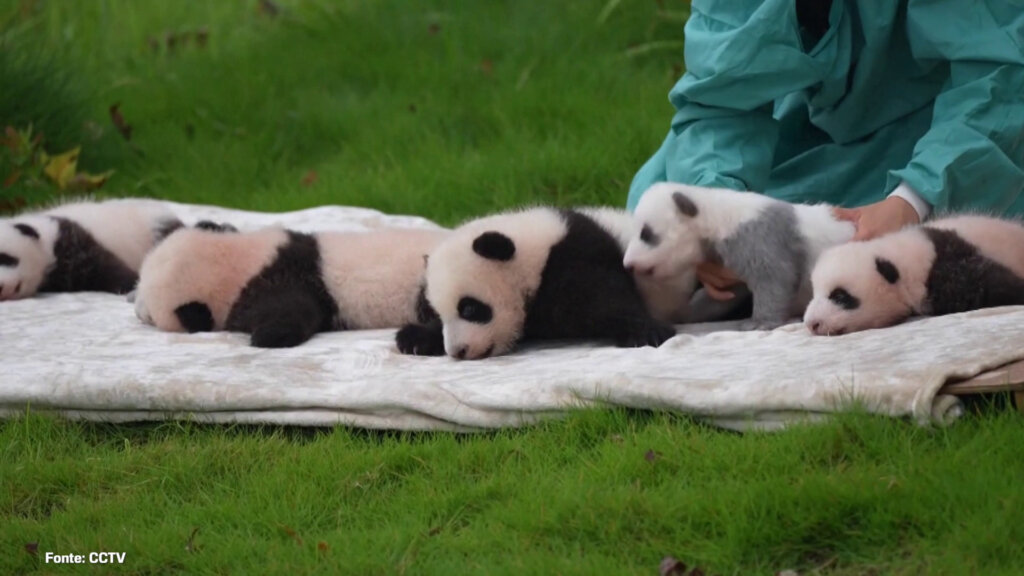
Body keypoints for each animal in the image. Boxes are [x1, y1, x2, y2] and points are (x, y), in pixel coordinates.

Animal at [0, 198, 181, 300]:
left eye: (6, 258)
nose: (1, 287)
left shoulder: (71, 239)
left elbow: (106, 268)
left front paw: (134, 285)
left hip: (154, 227)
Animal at [134, 223, 449, 348]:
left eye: (147, 309)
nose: (136, 311)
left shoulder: (281, 282)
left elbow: (294, 310)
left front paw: (269, 336)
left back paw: (414, 339)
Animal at [395, 207, 678, 360]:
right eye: (438, 314)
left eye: (470, 309)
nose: (458, 351)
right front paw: (415, 338)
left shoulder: (575, 257)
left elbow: (608, 297)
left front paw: (645, 333)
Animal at [623, 182, 855, 329]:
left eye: (646, 234)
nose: (628, 264)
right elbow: (727, 294)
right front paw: (686, 312)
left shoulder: (759, 236)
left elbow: (775, 276)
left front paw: (760, 322)